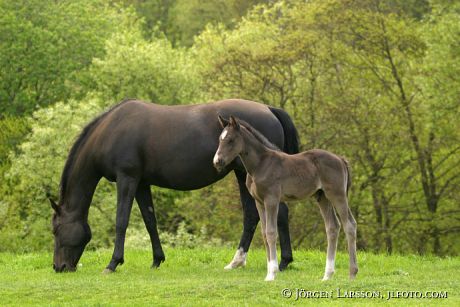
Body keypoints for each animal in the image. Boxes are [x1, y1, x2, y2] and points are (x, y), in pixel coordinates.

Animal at [49, 99, 298, 274]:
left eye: (56, 229)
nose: (59, 267)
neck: (111, 131)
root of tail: (269, 109)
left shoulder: (127, 178)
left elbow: (121, 221)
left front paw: (113, 263)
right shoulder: (141, 183)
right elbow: (150, 221)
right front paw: (157, 260)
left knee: (276, 213)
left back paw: (282, 262)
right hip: (243, 174)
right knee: (253, 216)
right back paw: (238, 262)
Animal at [213, 116, 360, 282]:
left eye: (231, 140)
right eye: (220, 139)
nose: (217, 161)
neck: (261, 164)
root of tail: (341, 159)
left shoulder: (272, 199)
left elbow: (271, 232)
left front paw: (271, 274)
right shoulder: (259, 202)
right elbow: (264, 233)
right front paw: (269, 271)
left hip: (337, 194)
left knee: (349, 225)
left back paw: (352, 273)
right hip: (322, 197)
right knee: (333, 227)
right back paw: (327, 275)